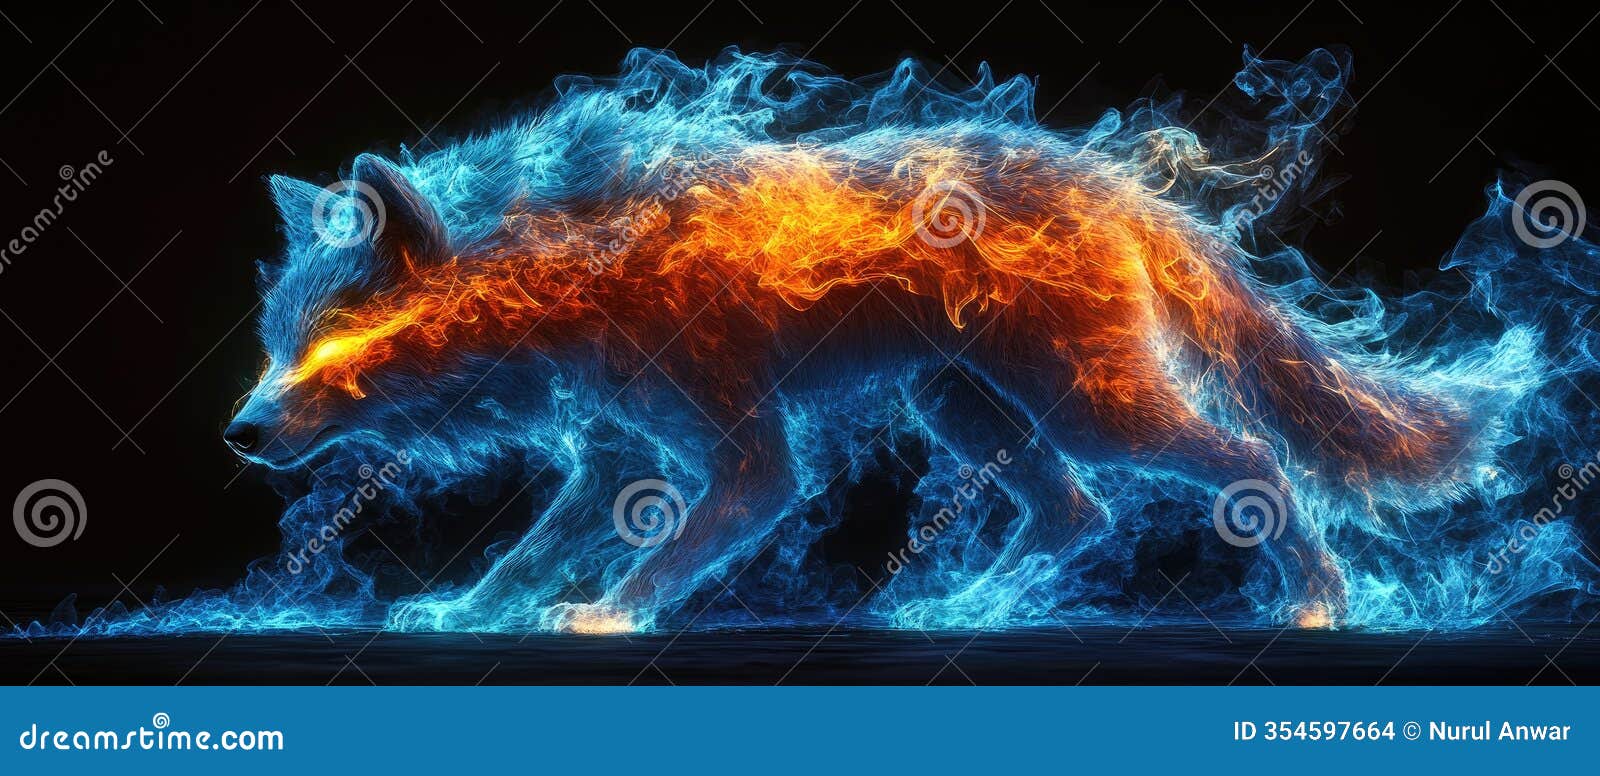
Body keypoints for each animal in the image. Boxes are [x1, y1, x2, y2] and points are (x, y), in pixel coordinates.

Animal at [225, 50, 1489, 633]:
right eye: (278, 345)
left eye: (332, 350)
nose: (239, 430)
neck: (567, 258)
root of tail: (1114, 182)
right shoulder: (615, 455)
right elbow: (526, 550)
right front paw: (468, 610)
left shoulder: (744, 454)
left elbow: (680, 538)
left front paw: (610, 612)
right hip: (963, 404)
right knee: (1077, 511)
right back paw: (968, 607)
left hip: (1090, 404)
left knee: (1248, 460)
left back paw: (1317, 600)